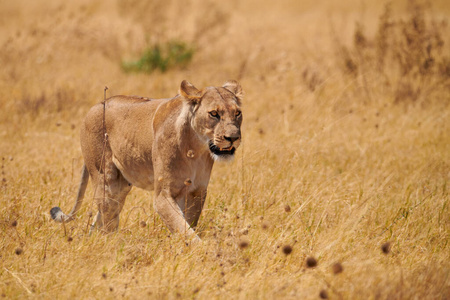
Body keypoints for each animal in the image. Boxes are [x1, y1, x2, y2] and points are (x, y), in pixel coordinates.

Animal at [49, 79, 243, 239]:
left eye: (237, 113)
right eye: (214, 114)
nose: (233, 138)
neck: (196, 148)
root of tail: (96, 105)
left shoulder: (197, 191)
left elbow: (189, 225)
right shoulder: (163, 195)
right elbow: (185, 230)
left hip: (121, 186)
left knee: (101, 220)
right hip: (105, 179)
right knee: (107, 221)